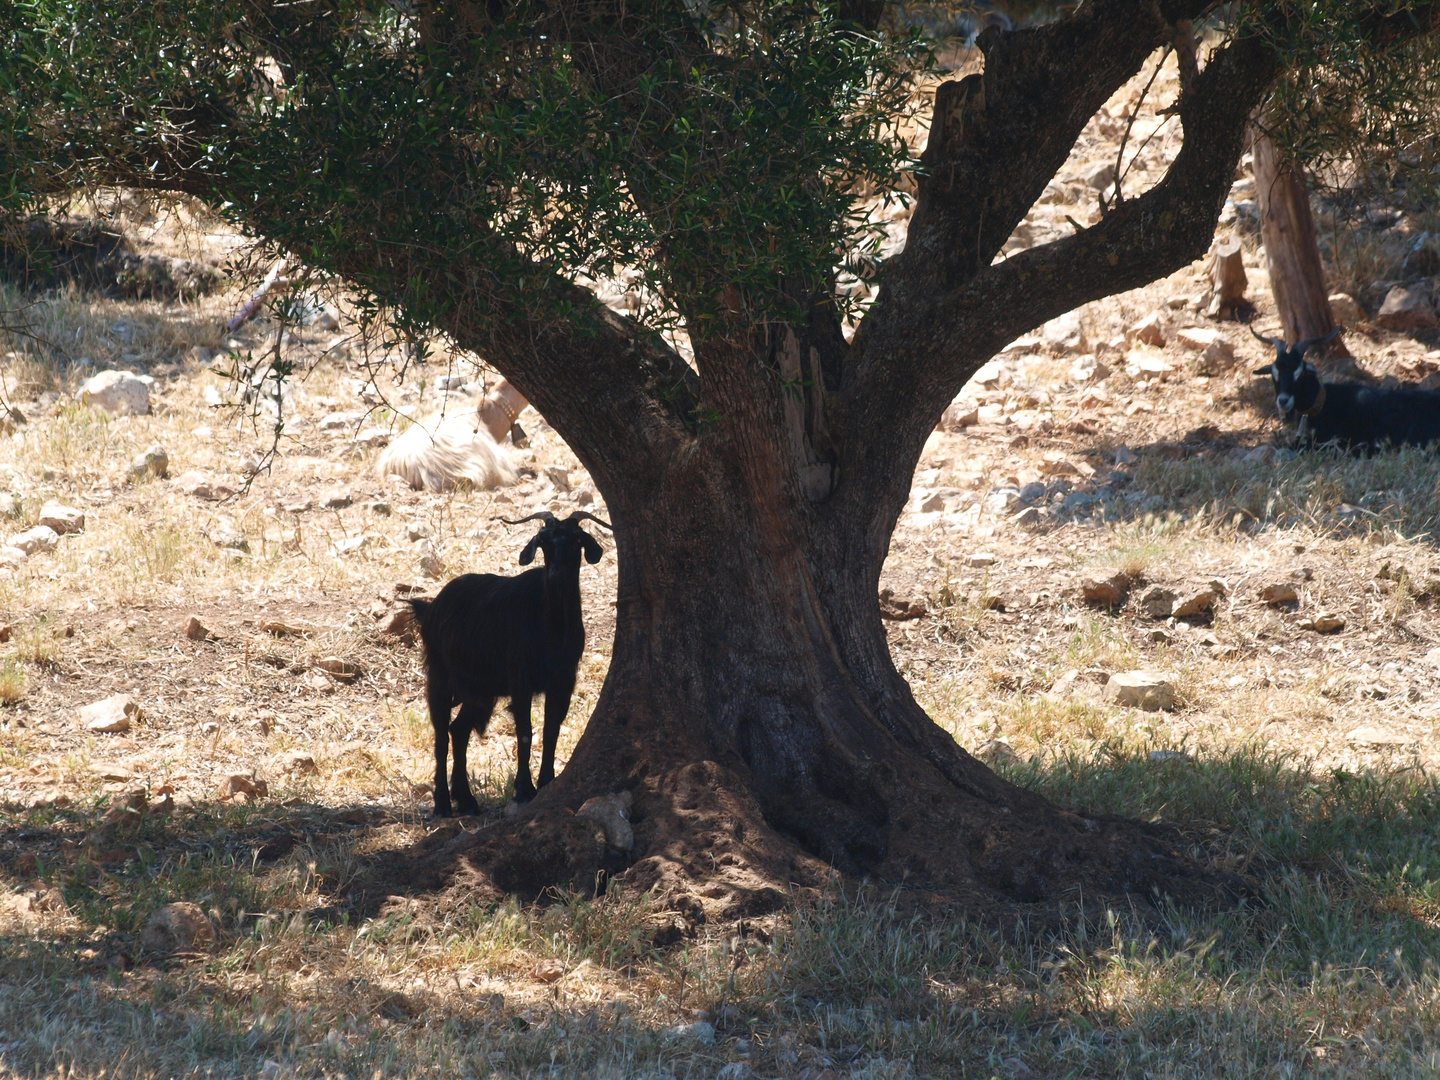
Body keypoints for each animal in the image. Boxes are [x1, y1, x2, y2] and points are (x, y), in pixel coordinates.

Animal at [408, 512, 610, 817]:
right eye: (544, 541)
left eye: (577, 540)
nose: (557, 575)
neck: (553, 625)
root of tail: (430, 608)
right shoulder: (520, 679)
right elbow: (525, 732)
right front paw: (524, 790)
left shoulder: (563, 680)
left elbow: (551, 730)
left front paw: (547, 782)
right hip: (440, 677)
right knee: (441, 737)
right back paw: (443, 804)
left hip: (480, 691)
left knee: (459, 730)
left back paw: (467, 800)